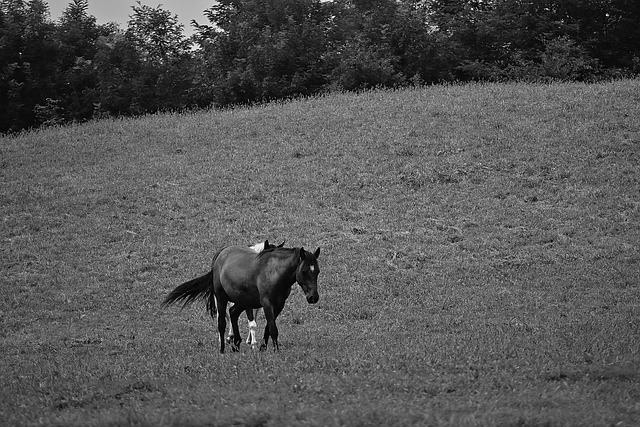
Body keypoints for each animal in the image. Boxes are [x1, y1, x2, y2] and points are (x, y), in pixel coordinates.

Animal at [161, 246, 318, 352]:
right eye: (304, 270)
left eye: (317, 271)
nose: (313, 297)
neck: (274, 272)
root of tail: (221, 253)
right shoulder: (267, 304)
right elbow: (273, 328)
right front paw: (276, 351)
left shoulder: (279, 305)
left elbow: (268, 328)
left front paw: (263, 347)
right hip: (221, 298)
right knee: (222, 323)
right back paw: (223, 349)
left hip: (243, 301)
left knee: (233, 313)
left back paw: (236, 344)